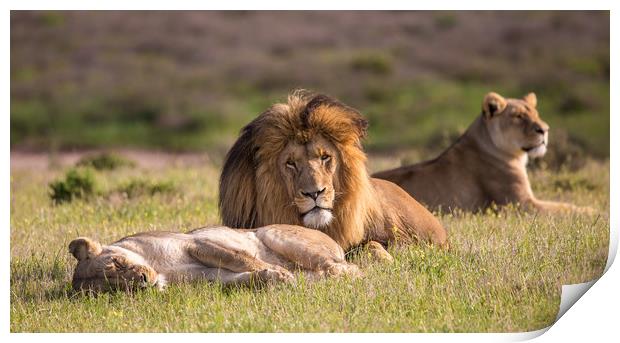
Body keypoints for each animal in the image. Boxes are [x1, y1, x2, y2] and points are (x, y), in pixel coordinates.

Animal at [372, 92, 588, 214]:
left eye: (537, 114)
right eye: (518, 116)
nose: (545, 130)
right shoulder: (519, 205)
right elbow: (565, 208)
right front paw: (593, 212)